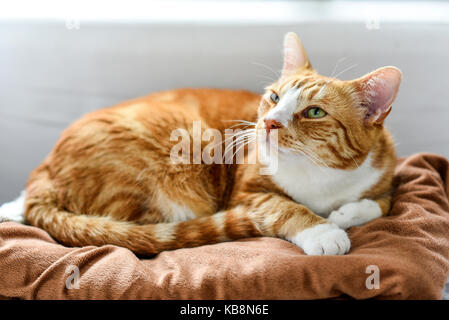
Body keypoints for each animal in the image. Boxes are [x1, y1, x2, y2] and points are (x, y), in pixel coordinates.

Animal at [24, 32, 400, 256]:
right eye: (274, 97)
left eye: (314, 112)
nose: (269, 121)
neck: (321, 176)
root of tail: (44, 169)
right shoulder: (247, 194)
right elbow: (285, 206)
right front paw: (323, 231)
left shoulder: (386, 173)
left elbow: (381, 202)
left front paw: (346, 213)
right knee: (140, 229)